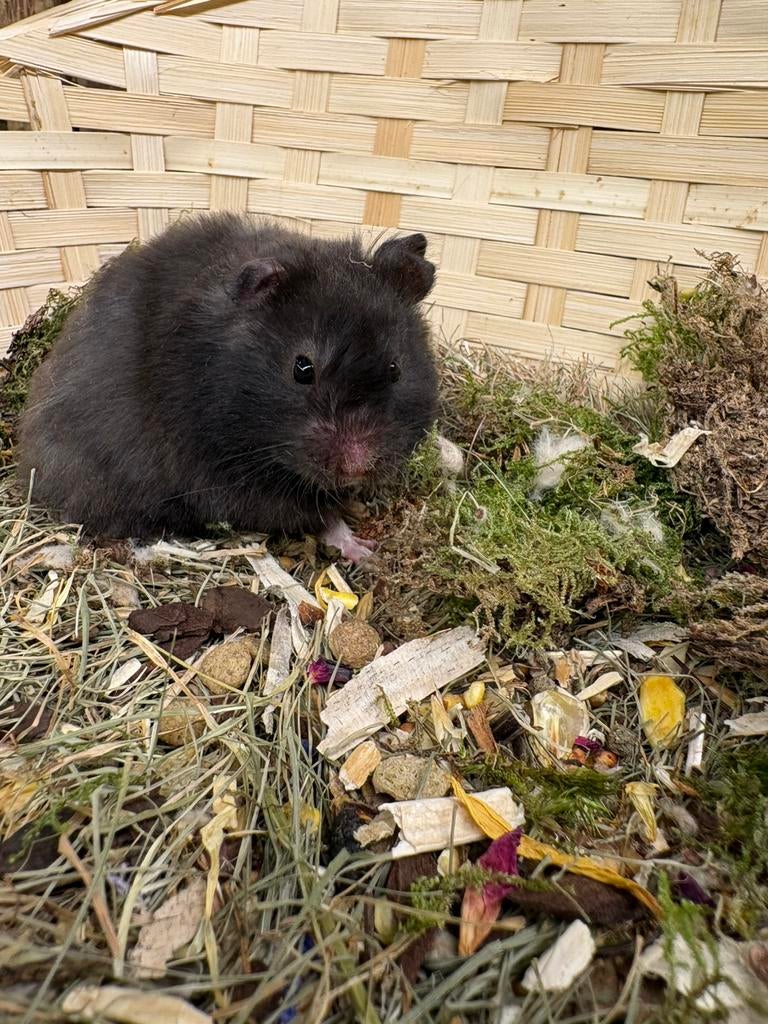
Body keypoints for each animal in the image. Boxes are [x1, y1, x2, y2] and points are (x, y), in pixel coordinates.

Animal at [17, 213, 438, 562]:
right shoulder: (230, 483)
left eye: (396, 368)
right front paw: (365, 551)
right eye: (302, 369)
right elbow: (318, 517)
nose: (357, 467)